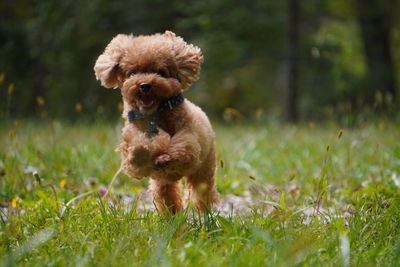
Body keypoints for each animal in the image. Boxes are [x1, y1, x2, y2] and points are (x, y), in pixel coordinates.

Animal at [94, 31, 219, 215]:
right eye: (132, 72)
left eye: (160, 72)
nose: (145, 85)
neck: (155, 114)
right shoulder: (133, 137)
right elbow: (135, 151)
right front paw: (140, 151)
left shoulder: (188, 137)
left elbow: (182, 148)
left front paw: (165, 157)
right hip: (163, 183)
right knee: (166, 194)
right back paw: (172, 214)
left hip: (204, 168)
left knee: (202, 190)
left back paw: (203, 210)